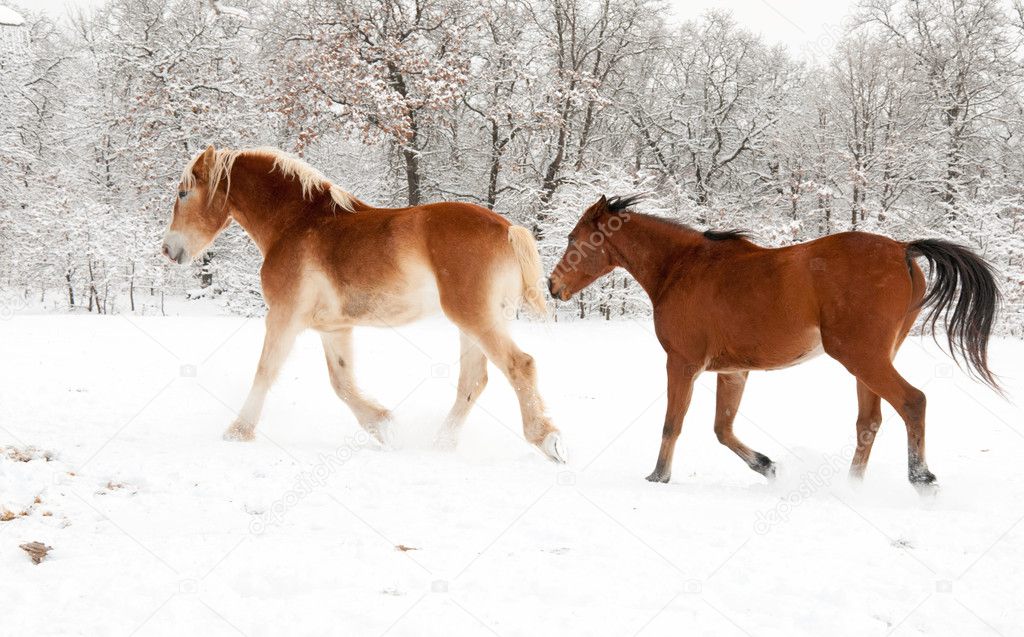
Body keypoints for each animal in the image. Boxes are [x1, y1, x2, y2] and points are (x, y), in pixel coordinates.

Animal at [161, 145, 567, 463]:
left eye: (182, 193)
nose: (168, 250)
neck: (295, 223)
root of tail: (507, 228)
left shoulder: (283, 318)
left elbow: (265, 371)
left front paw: (237, 432)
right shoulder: (334, 328)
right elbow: (341, 382)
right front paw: (384, 427)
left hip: (475, 318)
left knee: (519, 366)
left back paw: (548, 440)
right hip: (473, 324)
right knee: (474, 380)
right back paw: (440, 445)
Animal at [548, 195, 1000, 491]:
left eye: (573, 239)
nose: (552, 286)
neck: (680, 269)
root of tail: (904, 250)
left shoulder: (682, 363)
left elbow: (672, 424)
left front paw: (657, 477)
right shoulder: (733, 371)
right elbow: (722, 429)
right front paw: (768, 467)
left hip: (861, 357)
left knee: (912, 402)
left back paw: (922, 479)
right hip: (869, 361)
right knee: (869, 422)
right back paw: (852, 486)